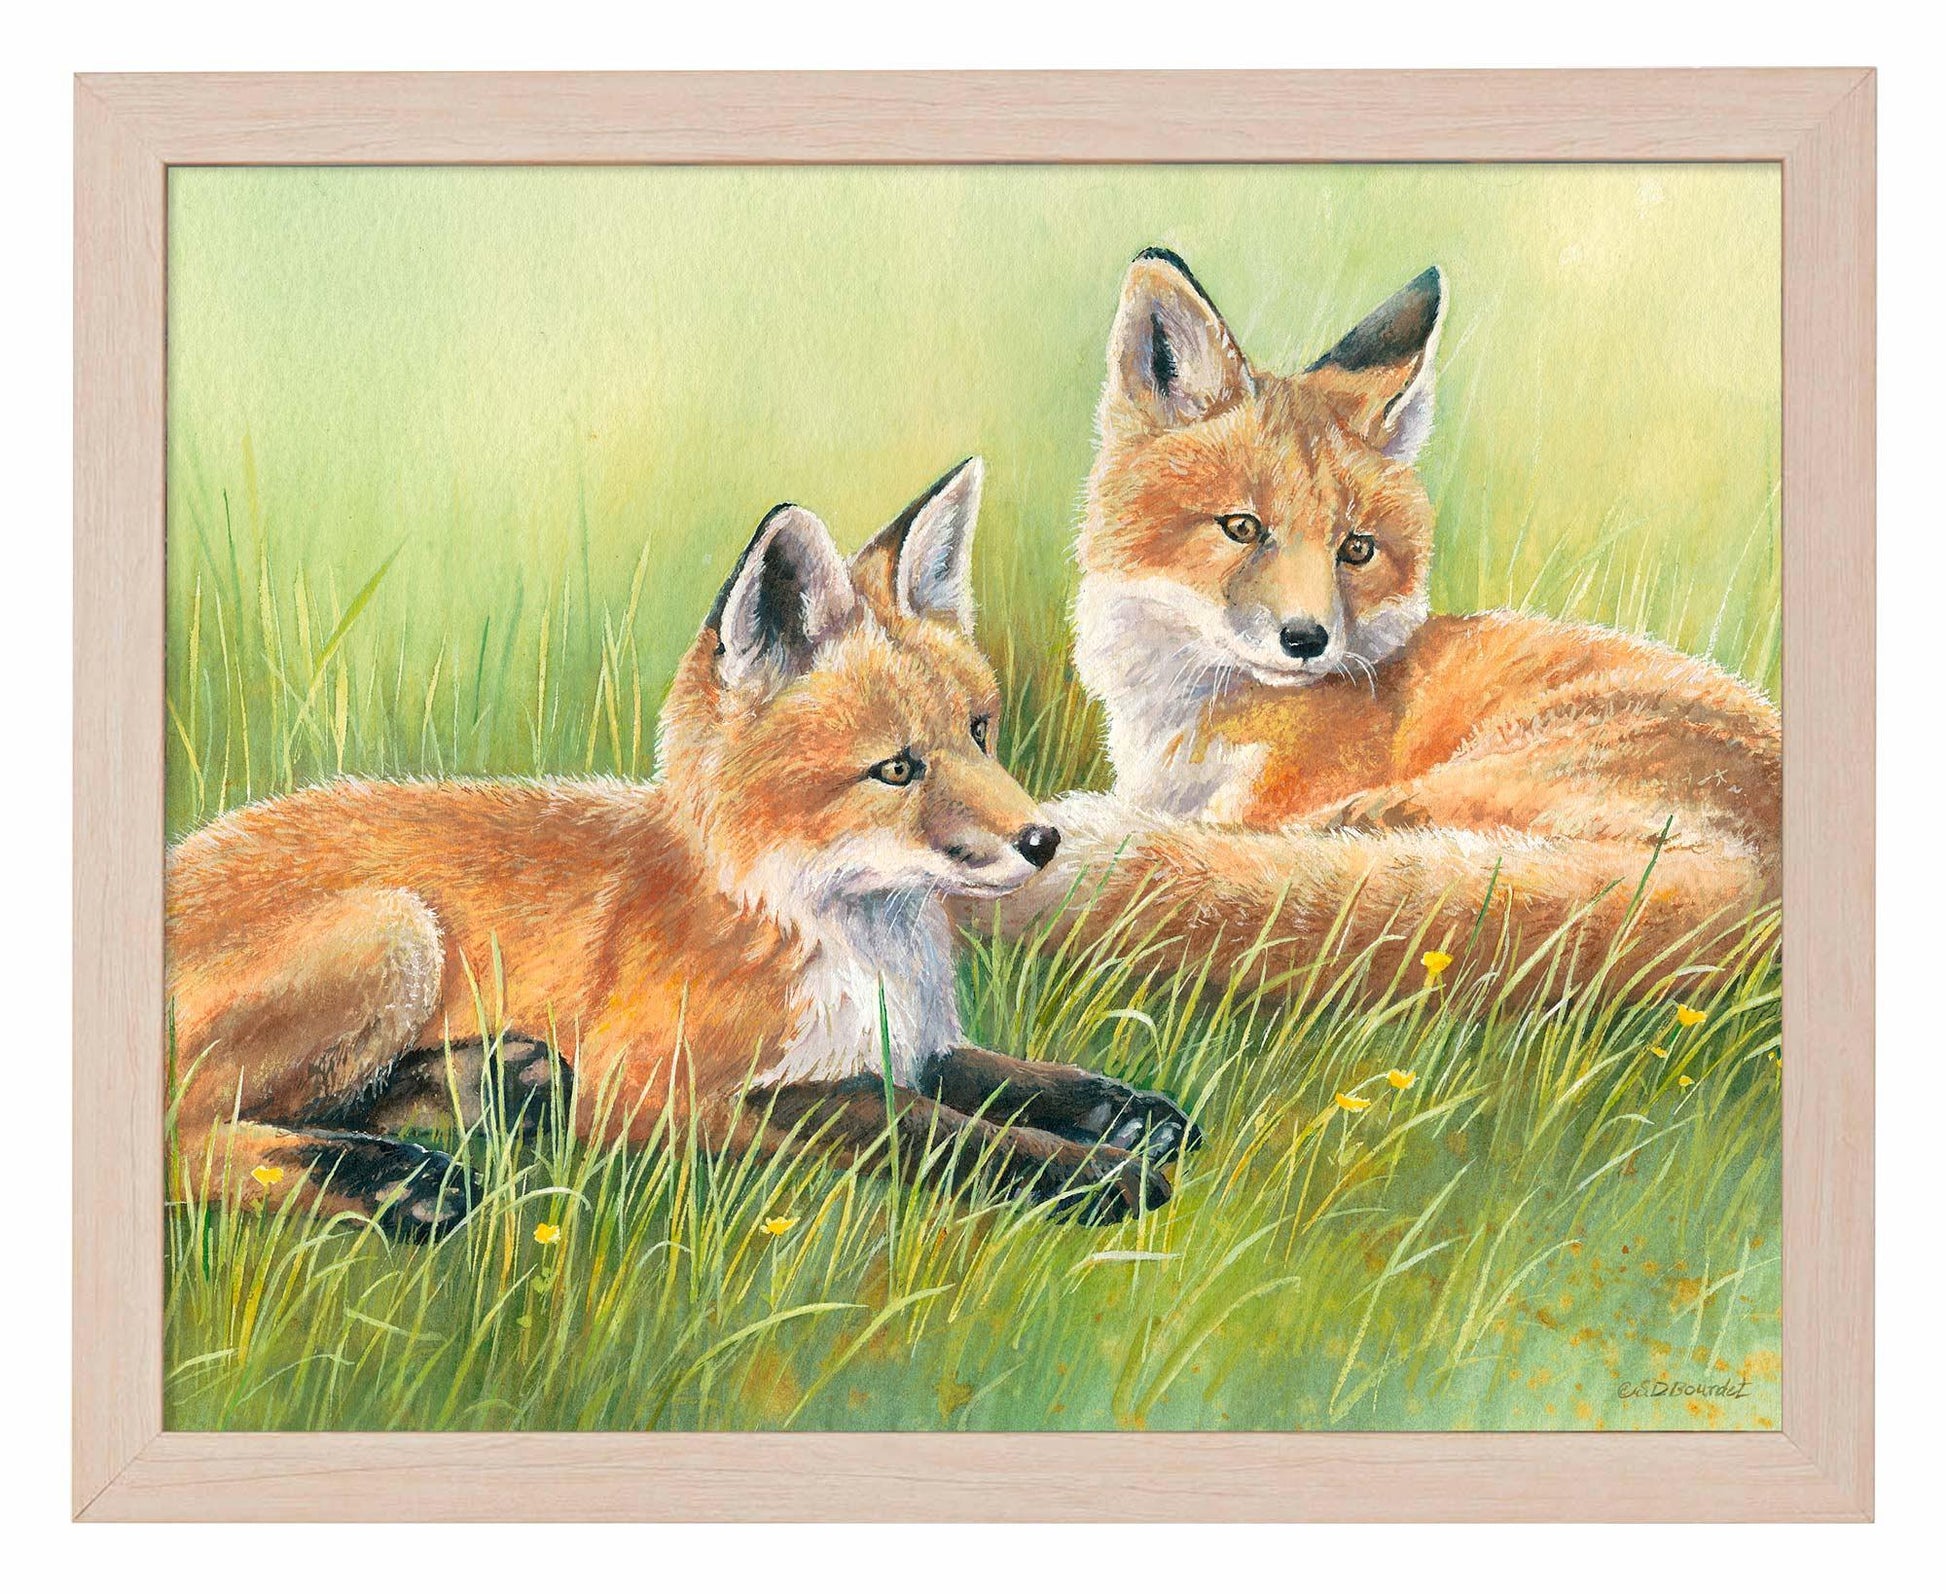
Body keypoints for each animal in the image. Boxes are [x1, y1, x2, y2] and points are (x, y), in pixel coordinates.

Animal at [166, 459, 1196, 1240]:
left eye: (980, 732)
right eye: (898, 769)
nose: (1043, 841)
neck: (835, 938)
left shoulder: (905, 1040)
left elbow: (993, 1078)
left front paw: (1121, 1110)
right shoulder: (665, 1091)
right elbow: (912, 1121)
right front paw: (1096, 1174)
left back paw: (483, 1088)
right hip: (396, 930)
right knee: (188, 1136)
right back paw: (396, 1183)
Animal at [994, 250, 1781, 997]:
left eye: (1356, 549)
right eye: (1242, 527)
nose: (1307, 641)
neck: (1191, 724)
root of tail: (1757, 882)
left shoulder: (1269, 798)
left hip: (1457, 782)